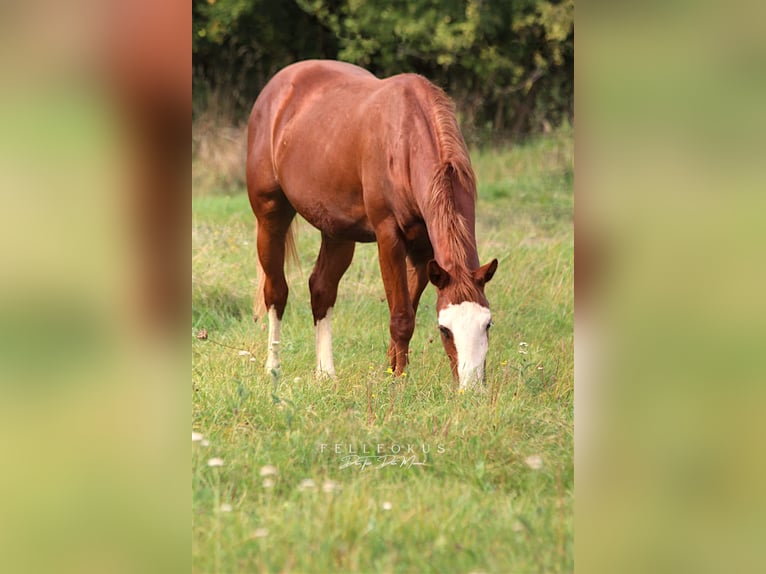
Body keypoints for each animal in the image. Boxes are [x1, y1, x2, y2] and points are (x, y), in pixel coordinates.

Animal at [246, 60, 498, 390]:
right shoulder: (389, 237)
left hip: (337, 232)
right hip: (271, 218)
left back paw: (325, 372)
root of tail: (276, 89)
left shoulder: (423, 252)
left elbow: (407, 309)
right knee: (276, 291)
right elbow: (401, 316)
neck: (407, 139)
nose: (472, 389)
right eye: (445, 329)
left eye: (487, 324)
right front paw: (399, 381)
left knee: (321, 289)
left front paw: (392, 370)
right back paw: (273, 369)